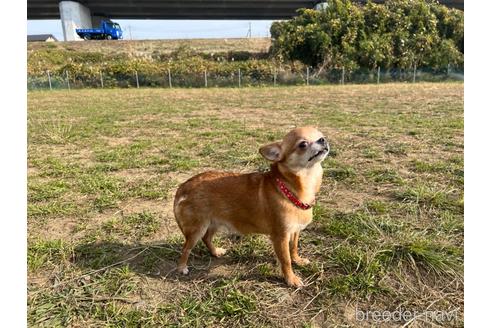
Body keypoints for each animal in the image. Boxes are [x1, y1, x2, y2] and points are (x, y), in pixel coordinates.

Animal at [173, 127, 330, 286]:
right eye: (302, 144)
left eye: (321, 136)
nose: (323, 140)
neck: (290, 188)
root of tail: (184, 186)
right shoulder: (280, 237)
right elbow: (285, 260)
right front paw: (291, 279)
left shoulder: (295, 231)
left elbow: (294, 248)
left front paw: (298, 260)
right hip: (197, 229)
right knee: (186, 248)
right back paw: (182, 267)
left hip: (214, 223)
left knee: (206, 238)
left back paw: (215, 251)